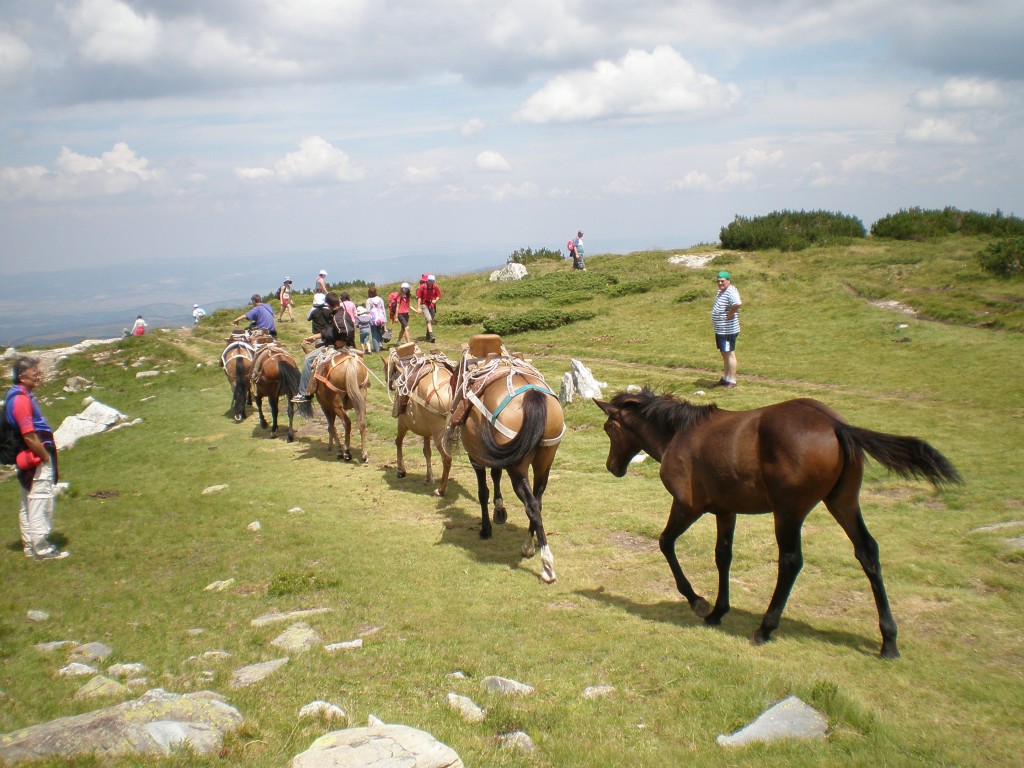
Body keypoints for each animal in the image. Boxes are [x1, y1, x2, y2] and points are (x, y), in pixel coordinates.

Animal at [385, 350, 454, 495]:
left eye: (386, 368)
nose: (389, 384)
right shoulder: (426, 432)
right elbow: (427, 451)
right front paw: (429, 477)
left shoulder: (402, 423)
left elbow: (398, 442)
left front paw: (401, 470)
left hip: (439, 435)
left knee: (447, 458)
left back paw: (441, 489)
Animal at [444, 342, 565, 581]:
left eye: (453, 379)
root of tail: (533, 394)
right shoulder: (498, 454)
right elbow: (495, 475)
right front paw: (499, 510)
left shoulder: (477, 457)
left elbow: (483, 492)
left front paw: (485, 529)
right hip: (545, 457)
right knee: (538, 500)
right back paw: (529, 545)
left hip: (517, 467)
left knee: (531, 505)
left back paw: (546, 563)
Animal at [593, 391, 958, 663]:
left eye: (609, 429)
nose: (613, 467)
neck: (679, 434)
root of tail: (836, 425)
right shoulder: (726, 511)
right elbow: (723, 556)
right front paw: (718, 611)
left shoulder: (688, 506)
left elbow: (665, 543)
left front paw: (698, 602)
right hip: (842, 501)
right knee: (867, 551)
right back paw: (889, 641)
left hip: (788, 511)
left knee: (791, 561)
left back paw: (765, 628)